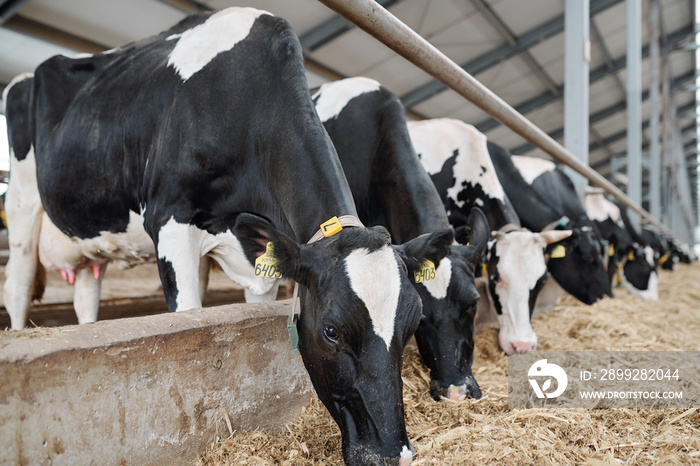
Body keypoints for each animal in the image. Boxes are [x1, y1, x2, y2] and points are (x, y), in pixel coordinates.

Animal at [4, 9, 454, 464]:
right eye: (332, 331)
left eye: (413, 322)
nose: (394, 455)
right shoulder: (169, 219)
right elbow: (186, 317)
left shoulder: (260, 259)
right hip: (22, 200)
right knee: (19, 283)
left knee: (85, 296)